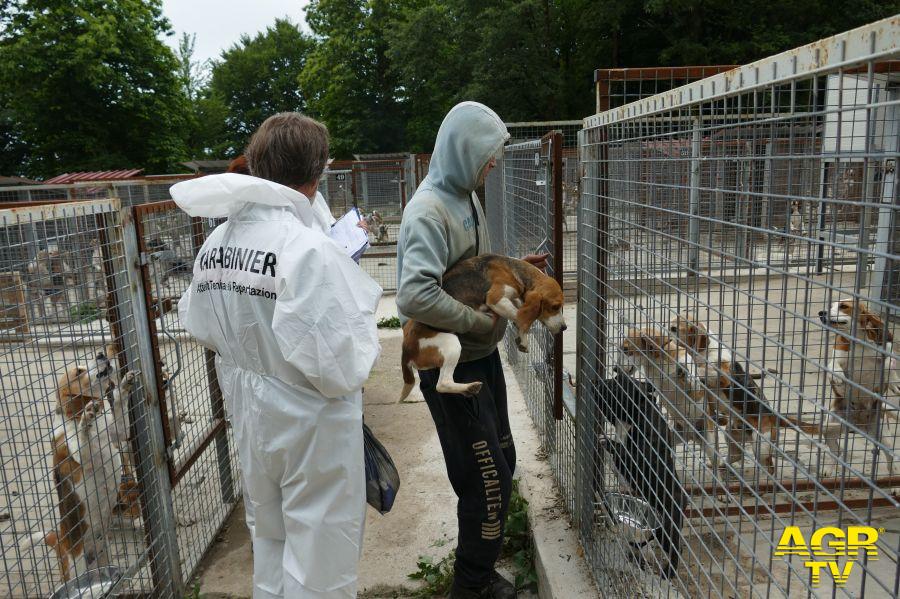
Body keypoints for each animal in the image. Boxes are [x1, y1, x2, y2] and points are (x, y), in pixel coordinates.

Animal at [21, 366, 136, 580]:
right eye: (78, 372)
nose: (101, 358)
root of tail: (61, 542)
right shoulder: (82, 455)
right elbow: (84, 439)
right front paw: (85, 420)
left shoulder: (119, 432)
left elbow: (119, 411)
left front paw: (124, 385)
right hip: (76, 568)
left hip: (104, 557)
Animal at [820, 300, 896, 478]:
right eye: (830, 305)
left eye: (843, 306)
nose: (821, 313)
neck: (859, 343)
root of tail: (859, 424)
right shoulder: (837, 357)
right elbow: (833, 365)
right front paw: (838, 377)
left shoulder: (886, 351)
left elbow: (889, 362)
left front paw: (893, 381)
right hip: (828, 427)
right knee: (837, 451)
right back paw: (828, 469)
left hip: (884, 436)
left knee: (891, 458)